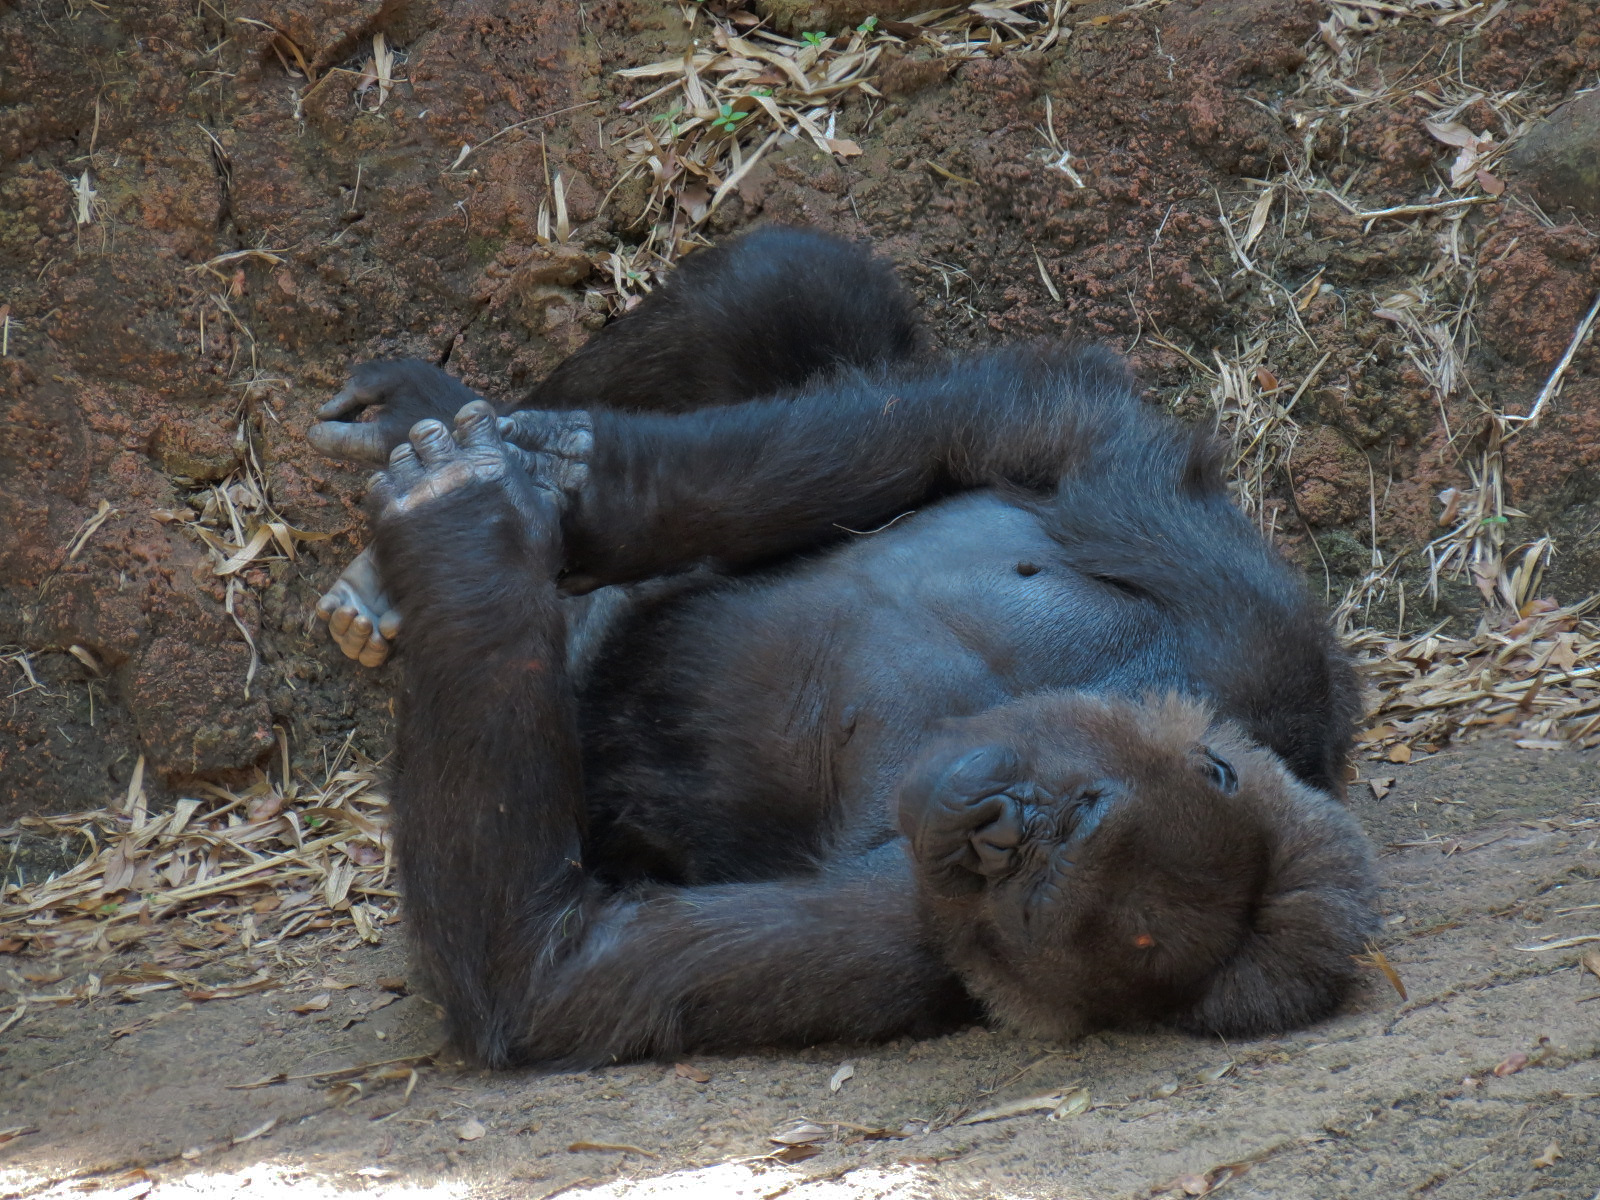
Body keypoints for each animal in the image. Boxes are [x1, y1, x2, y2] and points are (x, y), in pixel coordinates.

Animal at [307, 227, 1377, 1069]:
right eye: (1081, 810)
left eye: (1032, 894)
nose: (992, 826)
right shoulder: (1222, 594)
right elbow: (976, 416)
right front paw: (559, 481)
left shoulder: (908, 932)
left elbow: (548, 967)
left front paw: (467, 528)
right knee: (789, 285)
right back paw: (431, 438)